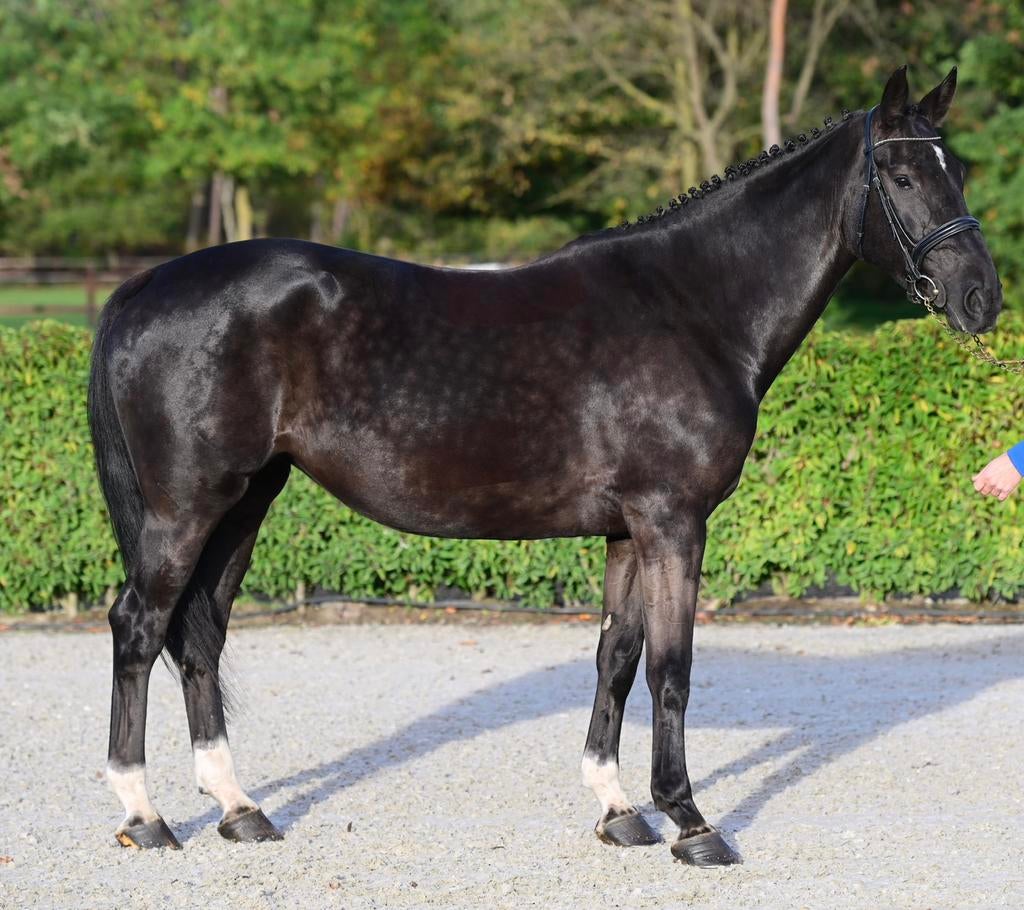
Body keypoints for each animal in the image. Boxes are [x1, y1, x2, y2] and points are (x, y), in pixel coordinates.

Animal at [88, 65, 1001, 865]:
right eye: (903, 174)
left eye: (956, 169)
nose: (981, 299)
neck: (693, 307)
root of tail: (142, 288)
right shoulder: (673, 521)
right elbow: (672, 668)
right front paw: (691, 822)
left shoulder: (629, 530)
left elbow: (618, 658)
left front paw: (619, 810)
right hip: (187, 506)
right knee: (139, 624)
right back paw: (145, 815)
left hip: (246, 499)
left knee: (200, 633)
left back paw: (238, 808)